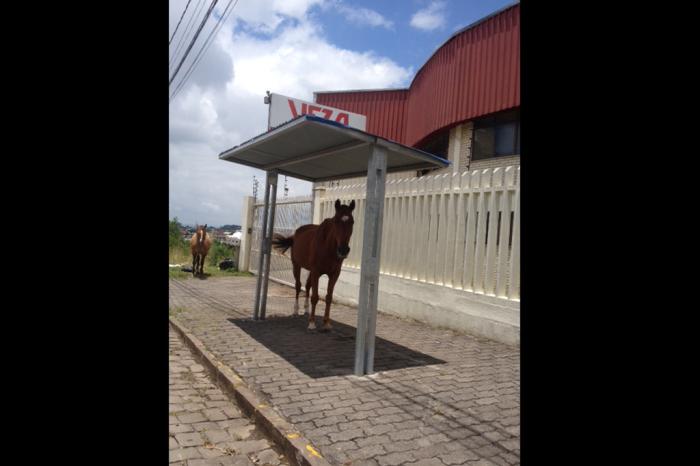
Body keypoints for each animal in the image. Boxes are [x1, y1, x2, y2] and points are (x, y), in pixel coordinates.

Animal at [272, 200, 356, 332]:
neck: (328, 246)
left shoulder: (334, 274)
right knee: (298, 286)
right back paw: (296, 310)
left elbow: (328, 297)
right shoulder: (316, 271)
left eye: (352, 222)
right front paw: (311, 323)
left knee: (307, 286)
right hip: (296, 265)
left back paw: (306, 309)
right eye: (336, 221)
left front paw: (326, 323)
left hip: (310, 270)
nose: (343, 250)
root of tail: (295, 235)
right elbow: (315, 297)